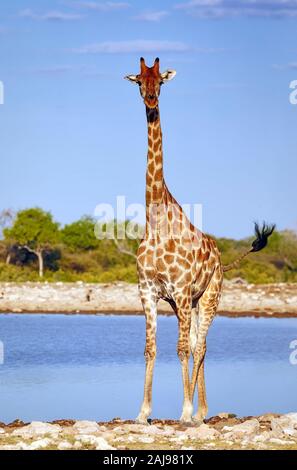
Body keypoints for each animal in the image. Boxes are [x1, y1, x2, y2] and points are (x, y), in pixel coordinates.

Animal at [124, 57, 272, 424]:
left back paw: (196, 411)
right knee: (195, 344)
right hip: (187, 303)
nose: (151, 100)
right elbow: (151, 348)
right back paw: (203, 409)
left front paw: (185, 410)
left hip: (209, 296)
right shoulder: (149, 292)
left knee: (200, 344)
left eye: (161, 81)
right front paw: (143, 412)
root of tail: (221, 258)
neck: (156, 221)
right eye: (139, 82)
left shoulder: (178, 289)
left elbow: (180, 349)